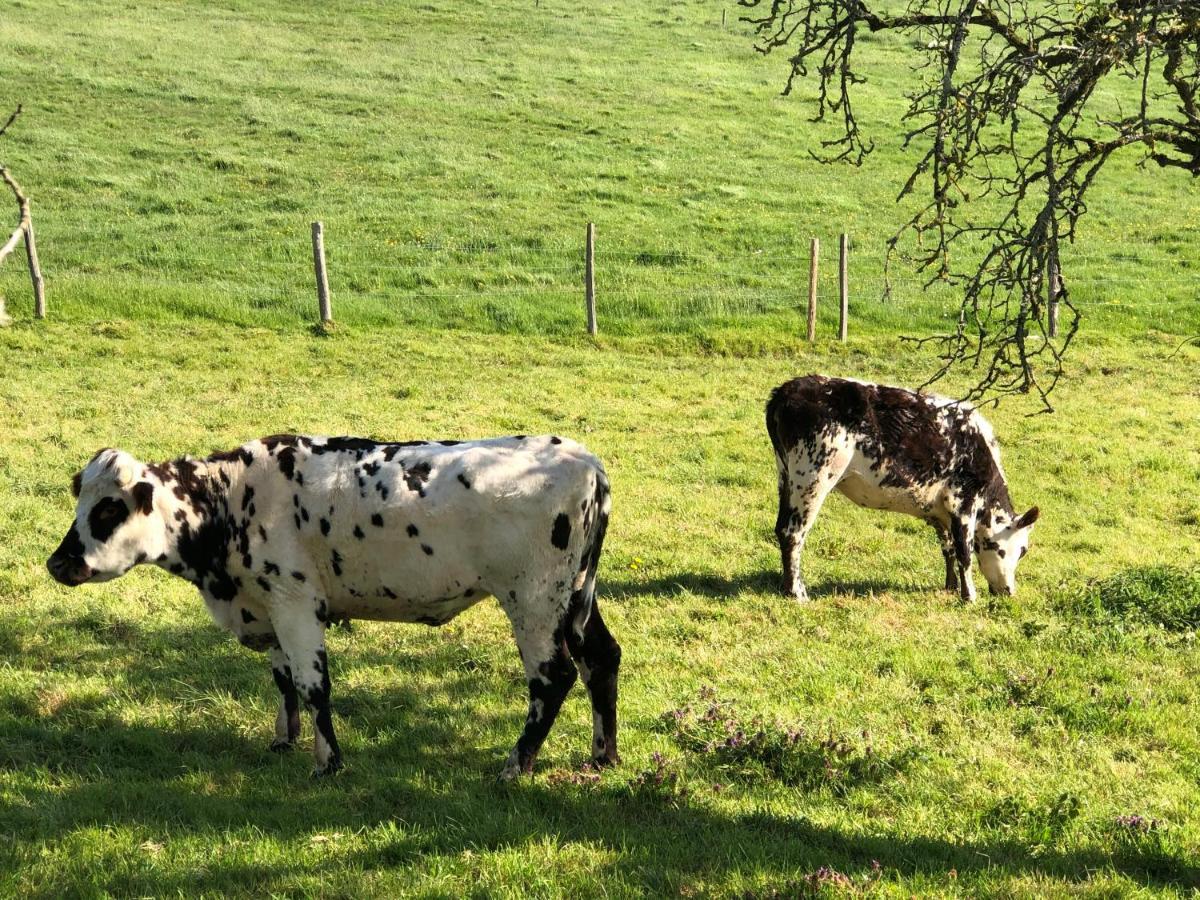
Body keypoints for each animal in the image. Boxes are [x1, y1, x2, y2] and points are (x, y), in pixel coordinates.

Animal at [45, 434, 619, 777]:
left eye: (108, 509)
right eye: (80, 502)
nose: (57, 563)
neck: (232, 501)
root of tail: (583, 460)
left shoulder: (296, 602)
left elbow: (312, 684)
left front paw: (328, 761)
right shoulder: (269, 603)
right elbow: (283, 680)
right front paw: (284, 739)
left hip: (534, 601)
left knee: (554, 677)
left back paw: (515, 765)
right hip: (575, 597)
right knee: (601, 658)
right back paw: (603, 755)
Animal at [768, 376, 1041, 602]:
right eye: (1022, 550)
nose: (1009, 591)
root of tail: (786, 390)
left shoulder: (939, 511)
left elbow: (948, 548)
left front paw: (950, 586)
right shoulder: (963, 503)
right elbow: (964, 552)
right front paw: (969, 596)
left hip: (787, 476)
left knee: (781, 528)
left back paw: (785, 587)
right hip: (813, 477)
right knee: (793, 532)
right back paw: (797, 592)